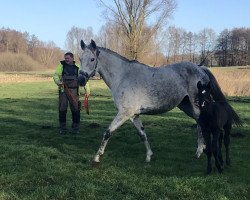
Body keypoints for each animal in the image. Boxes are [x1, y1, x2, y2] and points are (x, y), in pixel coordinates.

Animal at [79, 39, 227, 164]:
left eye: (92, 59)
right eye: (80, 59)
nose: (80, 80)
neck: (123, 77)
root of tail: (200, 68)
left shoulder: (124, 114)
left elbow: (108, 132)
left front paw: (97, 157)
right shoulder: (134, 115)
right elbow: (142, 134)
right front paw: (149, 156)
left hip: (196, 105)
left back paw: (202, 151)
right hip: (186, 106)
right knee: (199, 123)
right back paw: (201, 150)